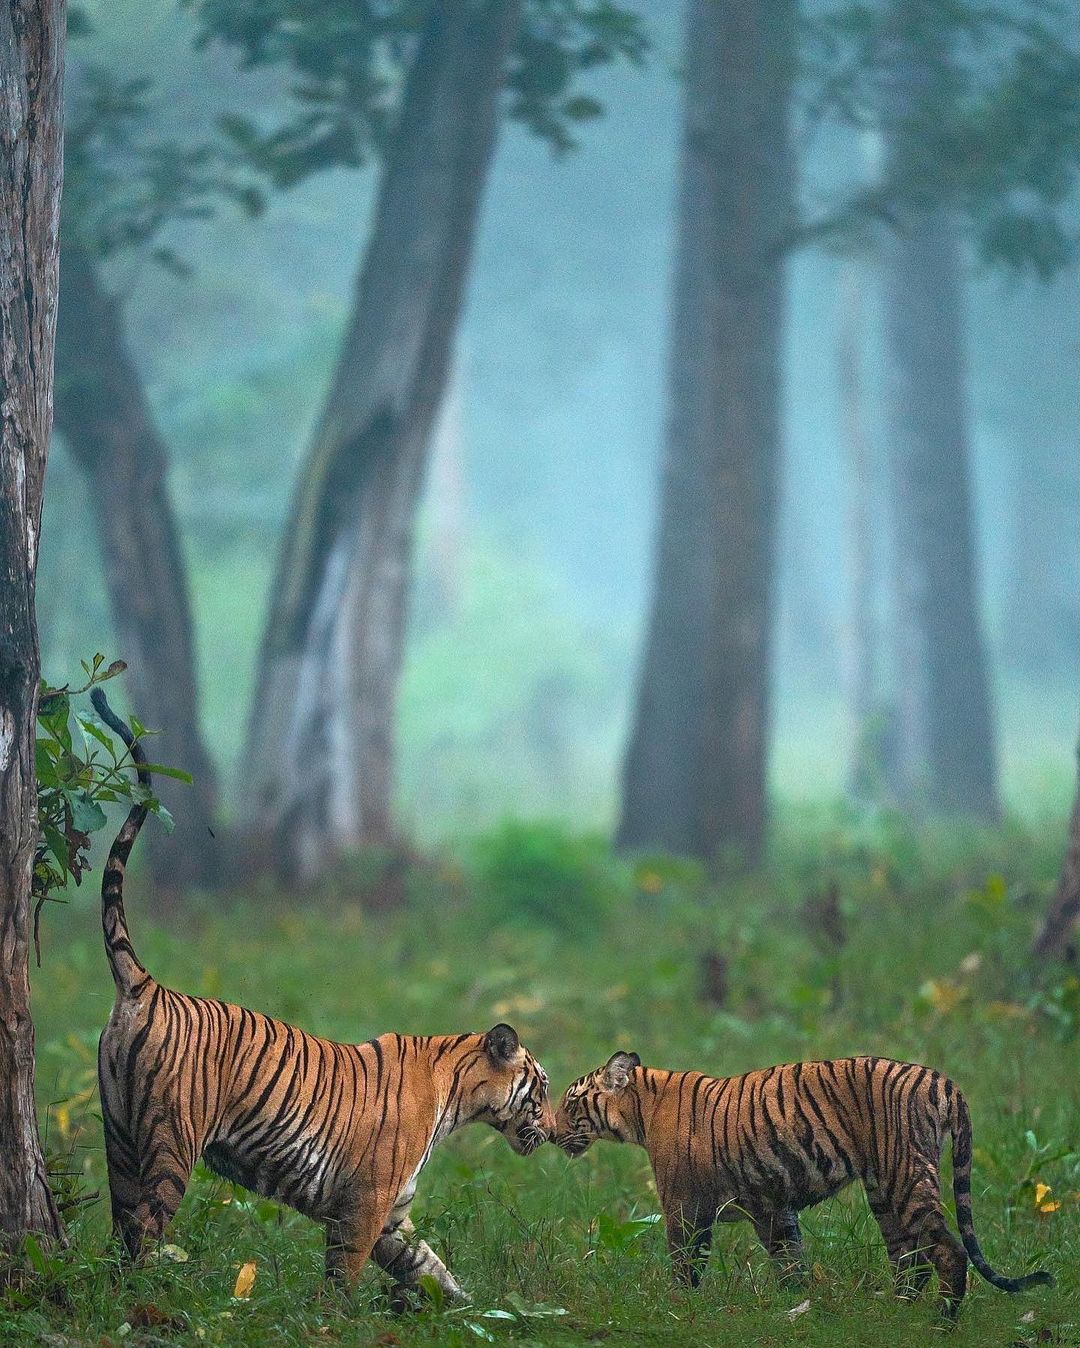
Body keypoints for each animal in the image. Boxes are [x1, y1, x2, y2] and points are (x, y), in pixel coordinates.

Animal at [90, 690, 555, 1299]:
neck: (455, 1096)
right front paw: (331, 1314)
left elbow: (433, 1269)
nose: (554, 1133)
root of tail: (146, 984)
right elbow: (344, 1273)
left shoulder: (395, 1218)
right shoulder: (364, 1205)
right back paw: (143, 1299)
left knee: (120, 1231)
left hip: (120, 1139)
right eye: (541, 1090)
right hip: (172, 1144)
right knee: (144, 1231)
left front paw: (475, 1309)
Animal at [555, 1051, 1051, 1315]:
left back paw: (939, 1322)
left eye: (570, 1102)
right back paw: (895, 1312)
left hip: (905, 1174)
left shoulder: (683, 1205)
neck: (641, 1109)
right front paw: (796, 1307)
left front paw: (679, 1305)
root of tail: (942, 1080)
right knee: (910, 1257)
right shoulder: (771, 1207)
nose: (553, 1131)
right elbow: (789, 1258)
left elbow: (685, 1261)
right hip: (883, 1191)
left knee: (948, 1251)